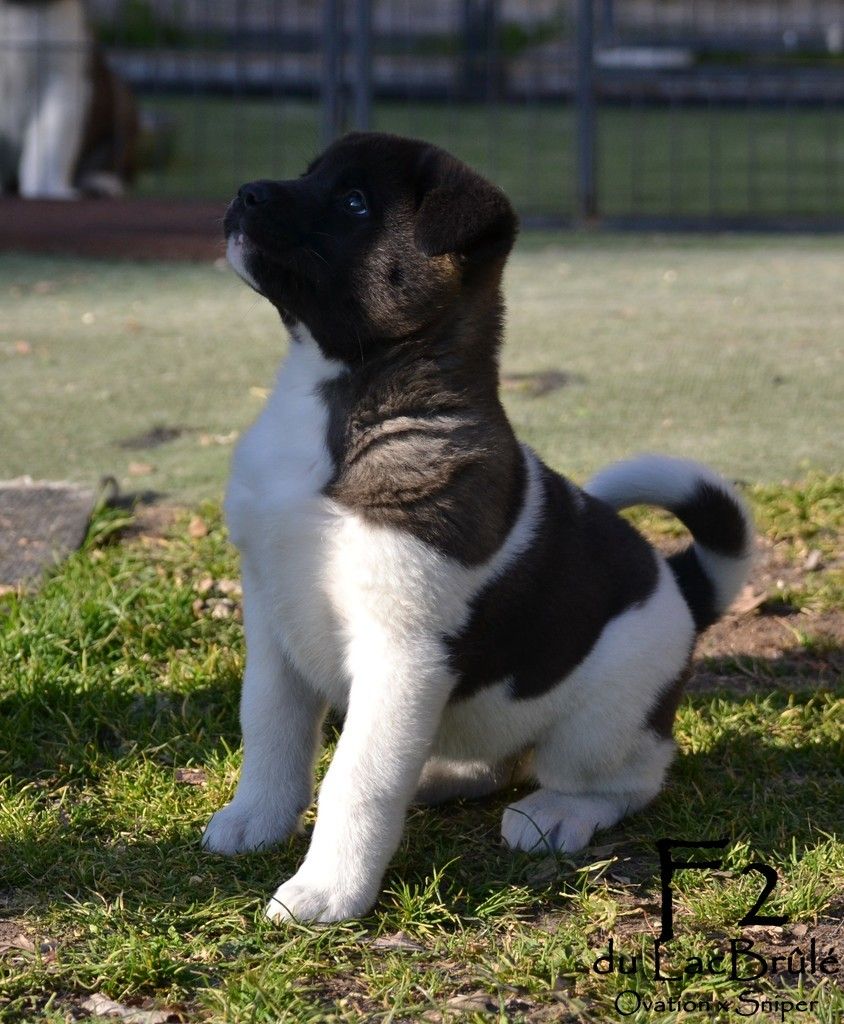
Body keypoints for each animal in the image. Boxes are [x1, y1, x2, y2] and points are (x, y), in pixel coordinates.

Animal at [203, 131, 753, 924]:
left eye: (354, 202)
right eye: (311, 174)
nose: (245, 192)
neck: (340, 399)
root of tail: (682, 583)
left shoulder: (400, 652)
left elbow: (358, 779)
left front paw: (326, 890)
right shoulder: (273, 622)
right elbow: (269, 730)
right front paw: (257, 820)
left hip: (601, 716)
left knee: (629, 775)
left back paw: (558, 812)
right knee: (494, 759)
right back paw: (441, 774)